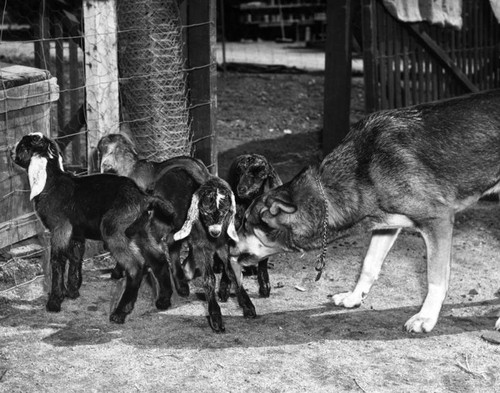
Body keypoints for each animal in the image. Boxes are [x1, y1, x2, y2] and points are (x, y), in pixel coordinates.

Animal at [222, 153, 282, 298]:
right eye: (239, 171)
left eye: (260, 173)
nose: (241, 188)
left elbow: (263, 260)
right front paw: (224, 288)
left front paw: (265, 287)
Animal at [232, 90, 500, 332]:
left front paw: (426, 317)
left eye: (245, 223)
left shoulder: (438, 222)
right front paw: (354, 297)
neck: (364, 168)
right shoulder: (386, 225)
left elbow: (435, 278)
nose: (227, 247)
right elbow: (369, 264)